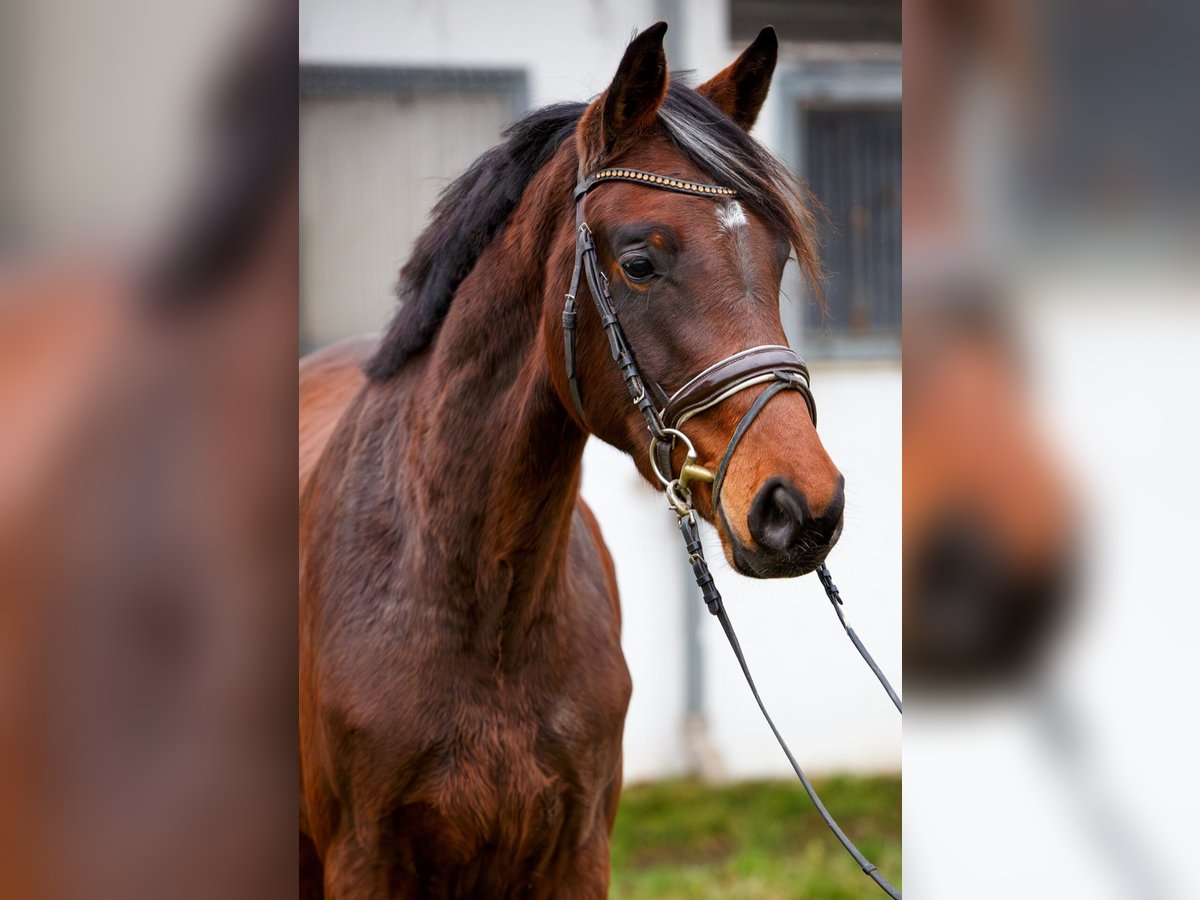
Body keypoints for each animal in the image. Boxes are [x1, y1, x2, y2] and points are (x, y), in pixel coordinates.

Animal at [298, 24, 844, 897]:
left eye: (778, 258)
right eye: (640, 262)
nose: (803, 508)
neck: (482, 609)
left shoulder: (579, 851)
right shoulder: (362, 859)